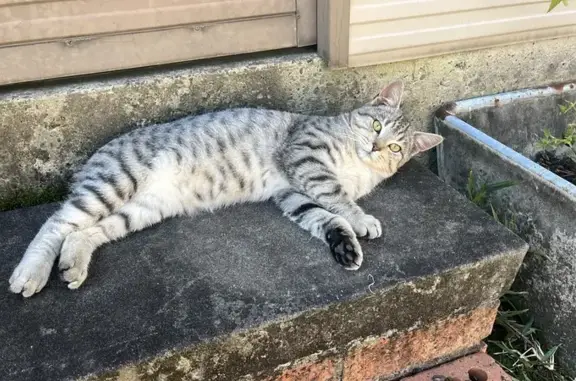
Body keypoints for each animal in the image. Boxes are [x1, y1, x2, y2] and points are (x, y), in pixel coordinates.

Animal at [7, 80, 440, 296]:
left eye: (396, 147)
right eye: (376, 125)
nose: (375, 146)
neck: (356, 167)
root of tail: (99, 151)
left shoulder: (291, 192)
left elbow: (323, 217)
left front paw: (345, 245)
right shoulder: (305, 157)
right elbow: (338, 199)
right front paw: (362, 218)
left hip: (142, 208)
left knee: (85, 233)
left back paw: (73, 263)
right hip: (115, 181)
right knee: (56, 224)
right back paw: (30, 273)